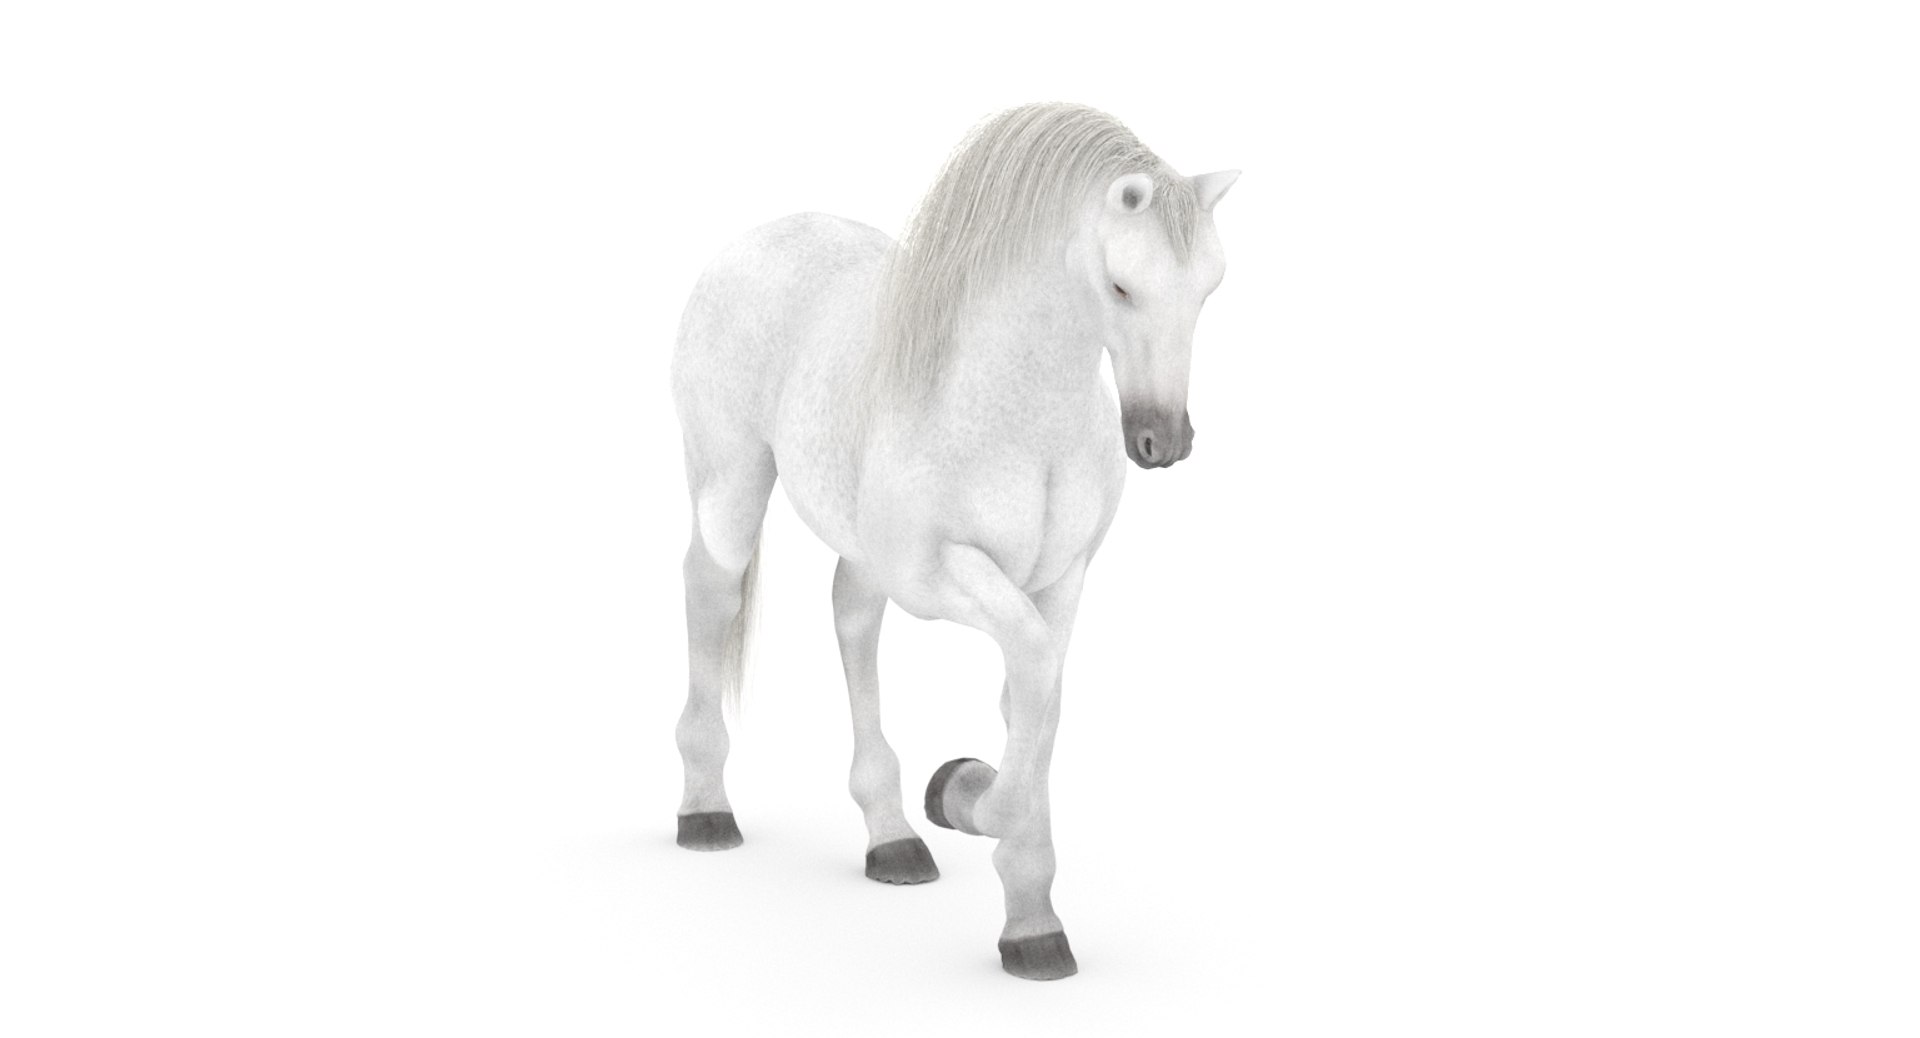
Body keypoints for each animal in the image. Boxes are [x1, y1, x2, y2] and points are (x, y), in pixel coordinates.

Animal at [669, 102, 1238, 980]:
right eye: (1121, 286)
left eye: (1209, 288)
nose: (1162, 442)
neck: (1021, 412)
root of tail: (762, 235)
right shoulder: (942, 578)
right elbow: (1031, 679)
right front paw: (976, 809)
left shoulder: (1061, 582)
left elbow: (1036, 703)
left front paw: (1015, 890)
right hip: (730, 482)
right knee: (711, 591)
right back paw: (705, 812)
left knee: (851, 618)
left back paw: (892, 837)